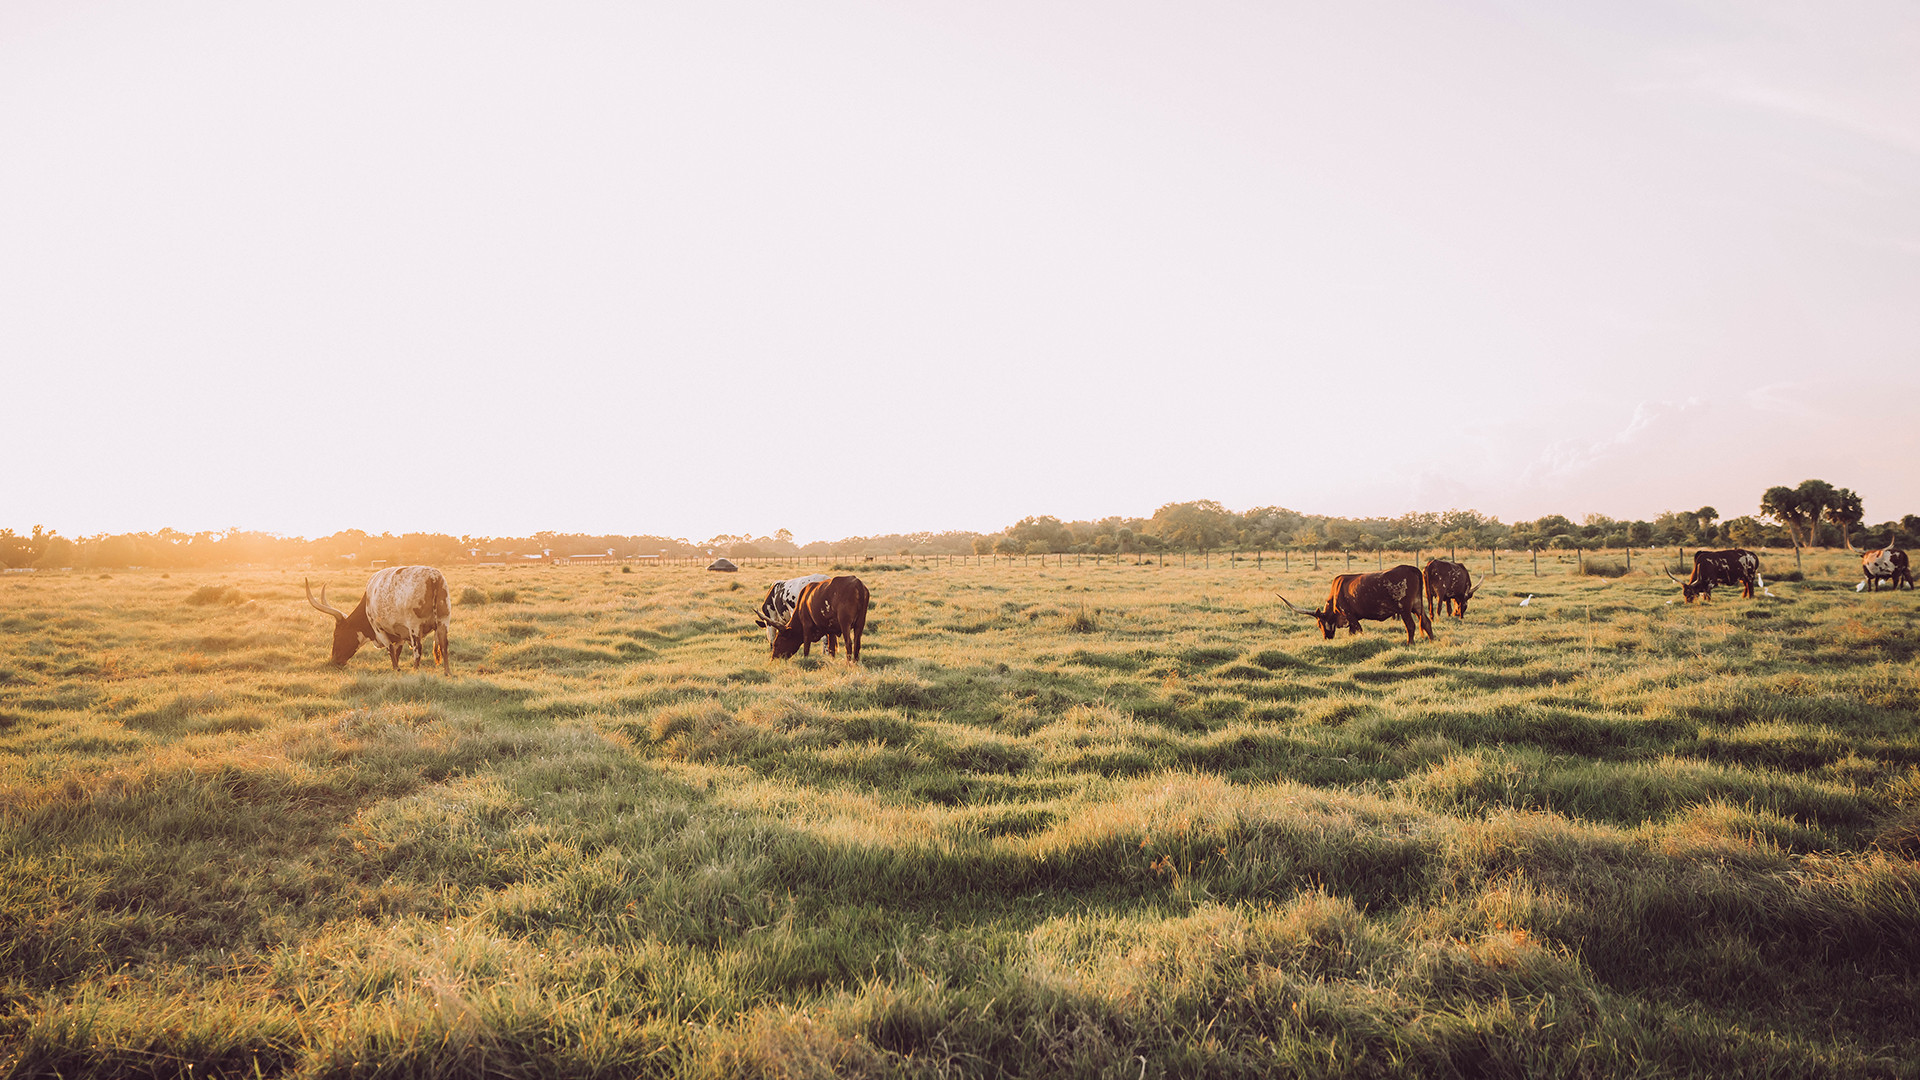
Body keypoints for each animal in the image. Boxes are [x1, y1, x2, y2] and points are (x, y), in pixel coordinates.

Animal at [309, 564, 455, 672]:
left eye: (337, 635)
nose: (334, 661)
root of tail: (434, 577)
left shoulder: (379, 628)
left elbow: (390, 649)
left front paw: (396, 669)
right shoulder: (399, 634)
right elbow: (396, 651)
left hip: (414, 625)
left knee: (417, 649)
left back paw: (415, 671)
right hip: (443, 621)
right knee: (444, 646)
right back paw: (447, 672)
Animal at [1282, 564, 1436, 638]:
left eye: (1319, 624)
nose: (1327, 637)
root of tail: (1412, 568)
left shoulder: (1350, 615)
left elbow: (1359, 630)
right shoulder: (1353, 618)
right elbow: (1352, 632)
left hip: (1404, 609)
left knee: (1411, 626)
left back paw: (1410, 644)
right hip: (1417, 606)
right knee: (1426, 623)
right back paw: (1432, 641)